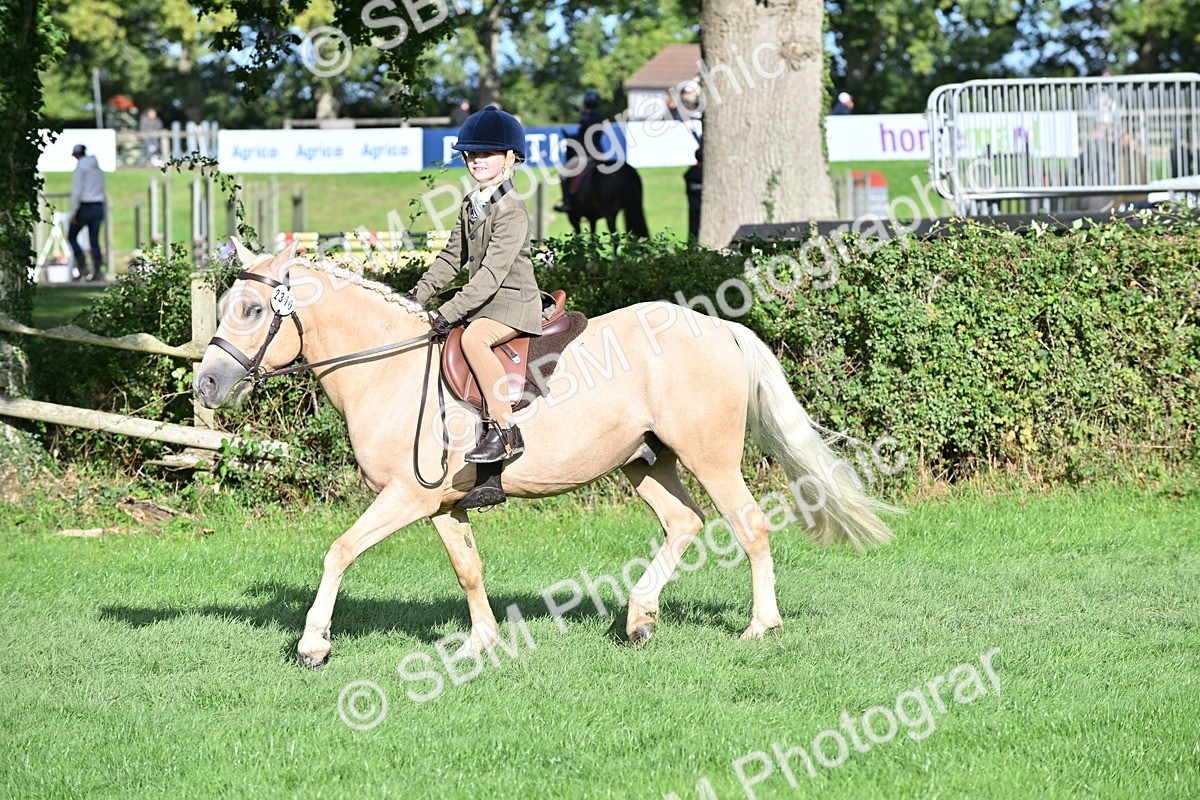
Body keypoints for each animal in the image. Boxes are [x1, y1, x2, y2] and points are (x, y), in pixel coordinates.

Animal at [193, 239, 896, 667]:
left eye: (251, 309)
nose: (206, 385)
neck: (389, 368)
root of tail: (719, 325)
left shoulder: (405, 497)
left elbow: (339, 550)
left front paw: (314, 644)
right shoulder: (442, 505)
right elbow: (468, 569)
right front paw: (481, 643)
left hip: (711, 459)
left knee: (748, 526)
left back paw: (759, 626)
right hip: (645, 462)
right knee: (684, 522)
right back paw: (639, 618)